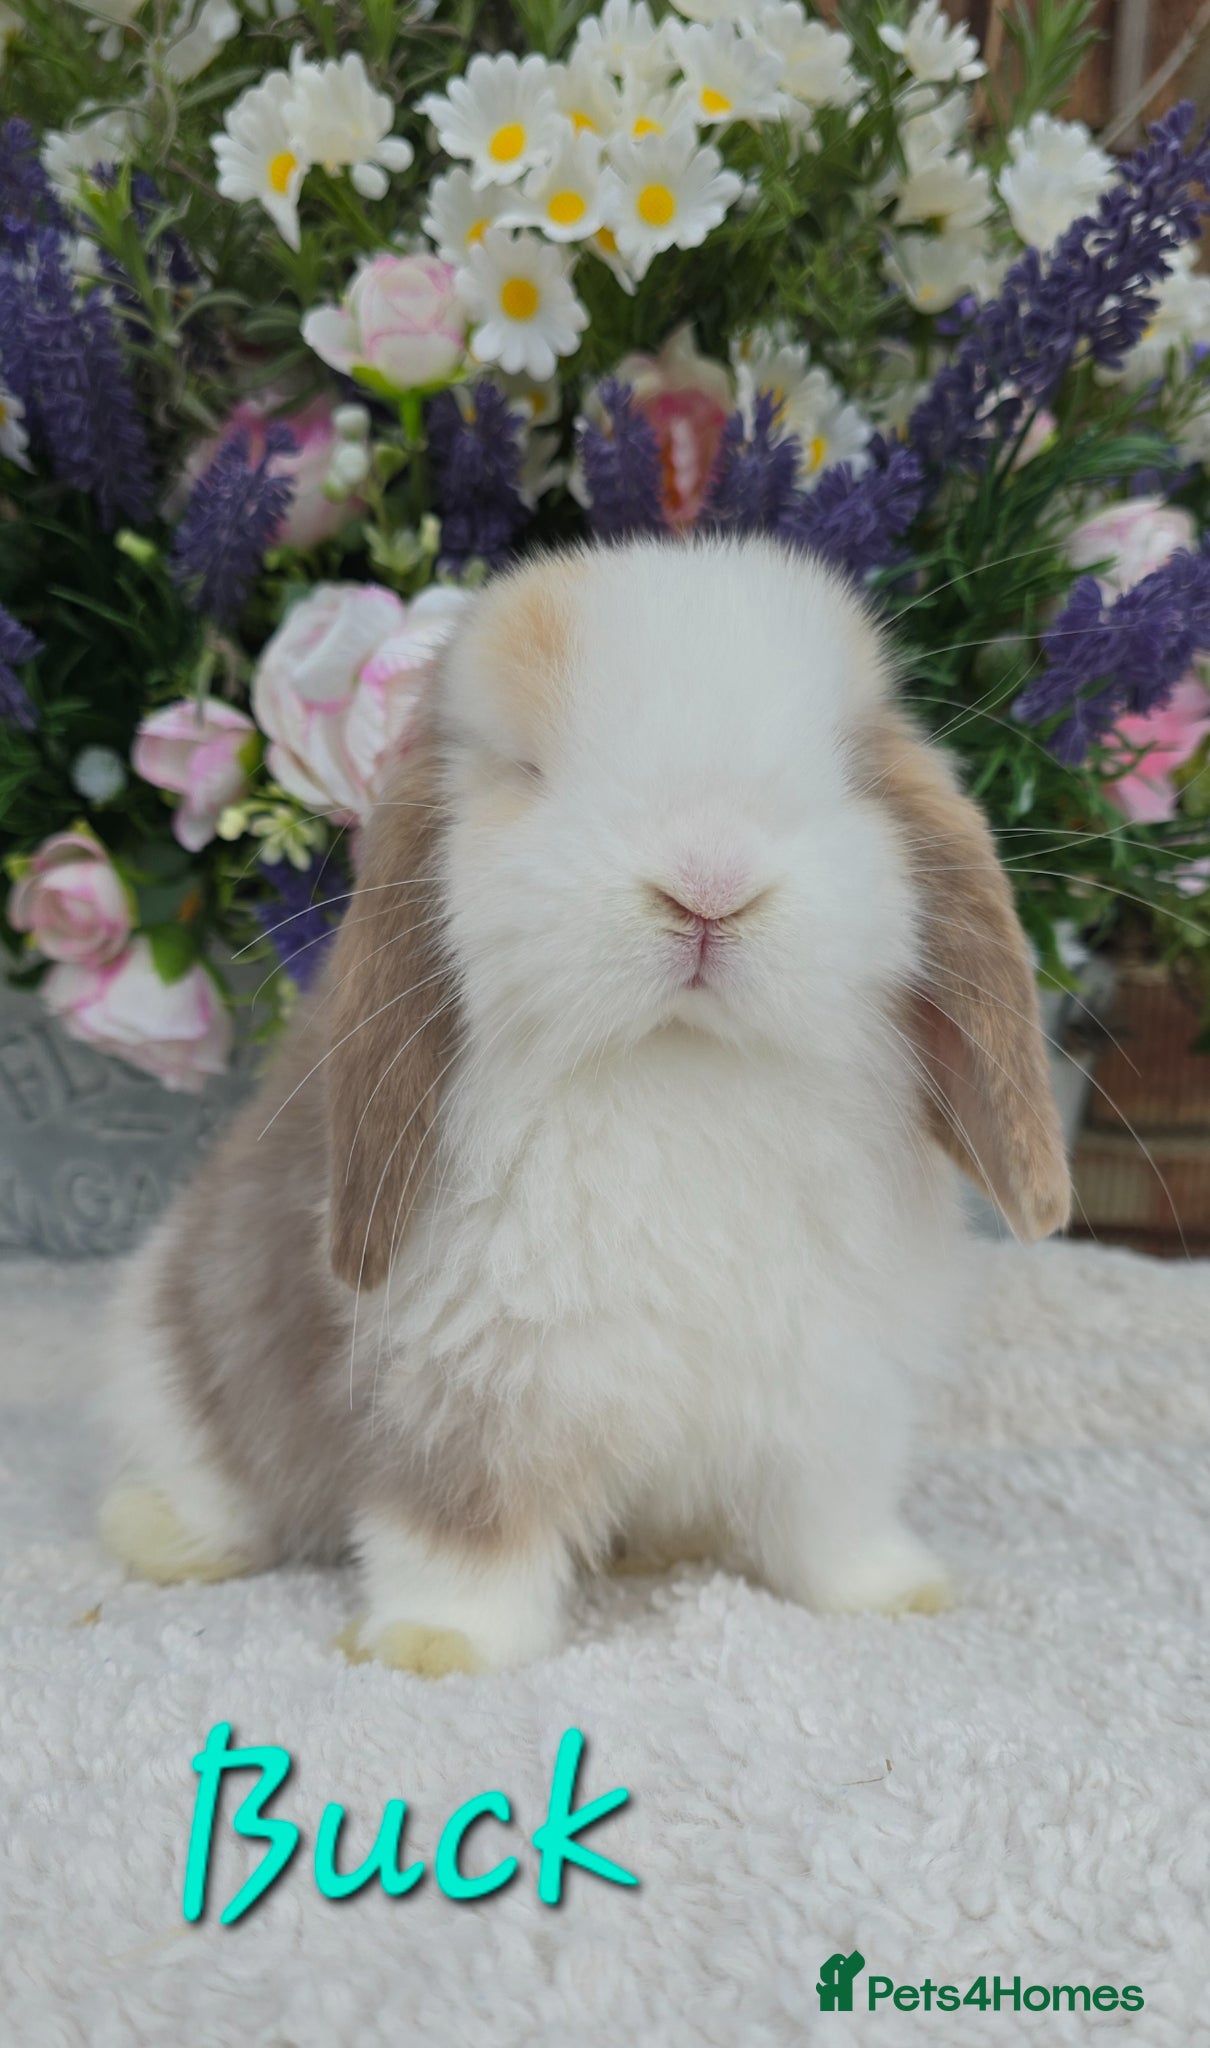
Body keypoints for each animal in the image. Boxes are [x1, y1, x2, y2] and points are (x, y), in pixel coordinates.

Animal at [99, 534, 1071, 1676]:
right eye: (528, 771)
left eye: (846, 775)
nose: (709, 883)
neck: (679, 1069)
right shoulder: (467, 1400)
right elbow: (463, 1531)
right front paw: (438, 1645)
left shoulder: (834, 1396)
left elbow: (832, 1519)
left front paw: (892, 1593)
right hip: (170, 1364)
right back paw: (160, 1535)